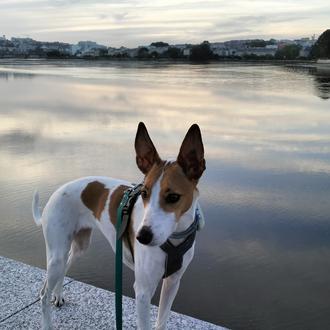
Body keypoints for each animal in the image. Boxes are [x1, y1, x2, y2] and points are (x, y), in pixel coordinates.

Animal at [32, 122, 205, 328]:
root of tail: (56, 193)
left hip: (78, 247)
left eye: (173, 197)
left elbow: (161, 322)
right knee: (43, 294)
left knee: (63, 270)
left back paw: (57, 295)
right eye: (144, 193)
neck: (174, 236)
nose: (141, 237)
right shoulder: (143, 291)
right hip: (57, 253)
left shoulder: (172, 283)